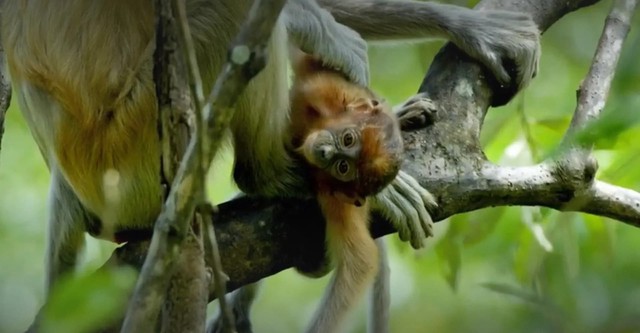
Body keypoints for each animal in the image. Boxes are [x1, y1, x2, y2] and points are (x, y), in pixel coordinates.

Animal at [290, 52, 404, 332]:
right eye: (348, 139)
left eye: (343, 167)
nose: (324, 152)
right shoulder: (329, 91)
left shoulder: (338, 202)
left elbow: (360, 263)